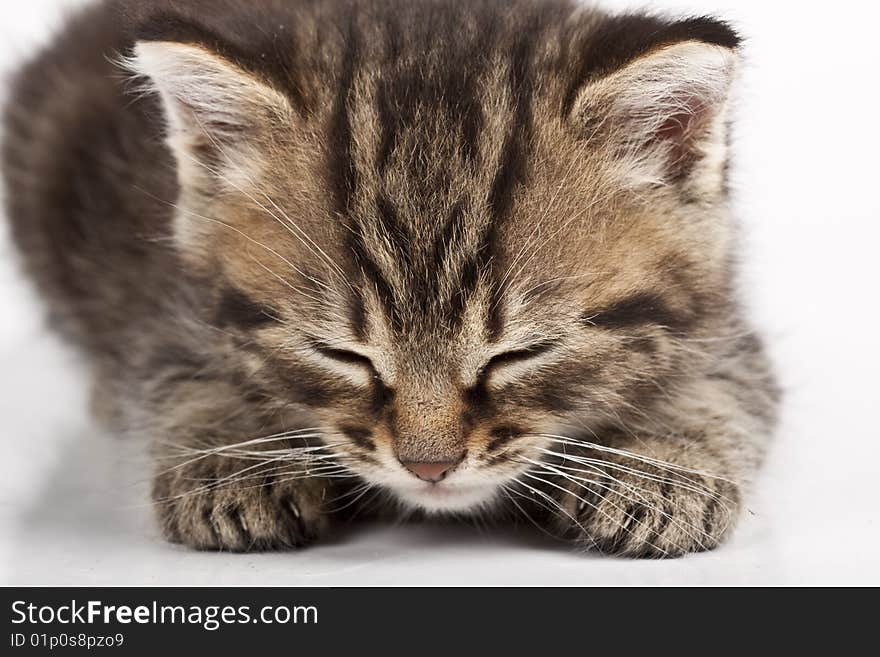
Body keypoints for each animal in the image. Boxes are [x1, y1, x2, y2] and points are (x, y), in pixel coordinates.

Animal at [5, 0, 776, 556]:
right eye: (339, 353)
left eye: (522, 353)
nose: (428, 467)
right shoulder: (168, 297)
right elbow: (174, 369)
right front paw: (233, 462)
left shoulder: (723, 312)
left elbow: (729, 383)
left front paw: (664, 467)